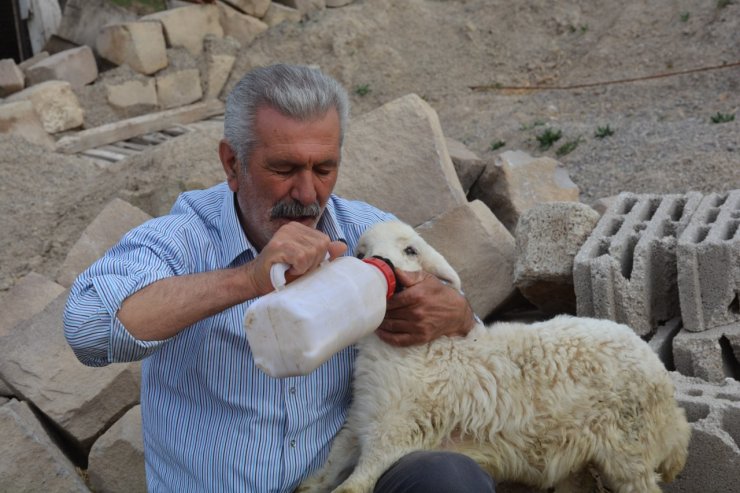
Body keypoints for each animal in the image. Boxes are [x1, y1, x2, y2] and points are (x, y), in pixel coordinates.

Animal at [298, 222, 692, 492]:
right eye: (361, 253)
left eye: (410, 250)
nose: (380, 263)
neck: (420, 350)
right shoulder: (364, 417)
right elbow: (330, 463)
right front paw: (308, 485)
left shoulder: (397, 426)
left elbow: (359, 480)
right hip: (581, 452)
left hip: (630, 445)